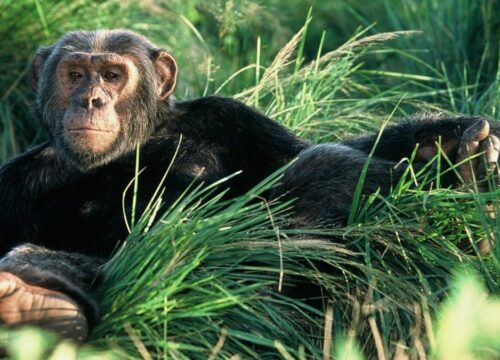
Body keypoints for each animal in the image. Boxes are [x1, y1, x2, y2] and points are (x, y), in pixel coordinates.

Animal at [0, 29, 498, 342]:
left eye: (113, 75)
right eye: (74, 75)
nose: (91, 99)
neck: (137, 143)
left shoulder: (232, 117)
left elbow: (298, 152)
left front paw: (450, 144)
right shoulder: (14, 182)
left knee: (320, 164)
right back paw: (31, 301)